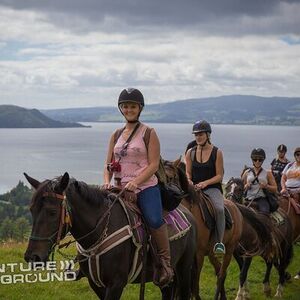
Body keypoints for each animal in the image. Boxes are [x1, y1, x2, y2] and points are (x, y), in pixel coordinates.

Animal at [22, 171, 197, 300]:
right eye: (31, 209)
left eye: (52, 212)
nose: (33, 257)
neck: (100, 231)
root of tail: (190, 216)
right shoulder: (96, 284)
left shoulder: (116, 284)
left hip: (184, 270)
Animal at [163, 159, 245, 300]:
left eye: (172, 177)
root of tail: (235, 207)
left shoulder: (198, 254)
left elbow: (194, 285)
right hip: (211, 253)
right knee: (219, 271)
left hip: (229, 249)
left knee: (221, 274)